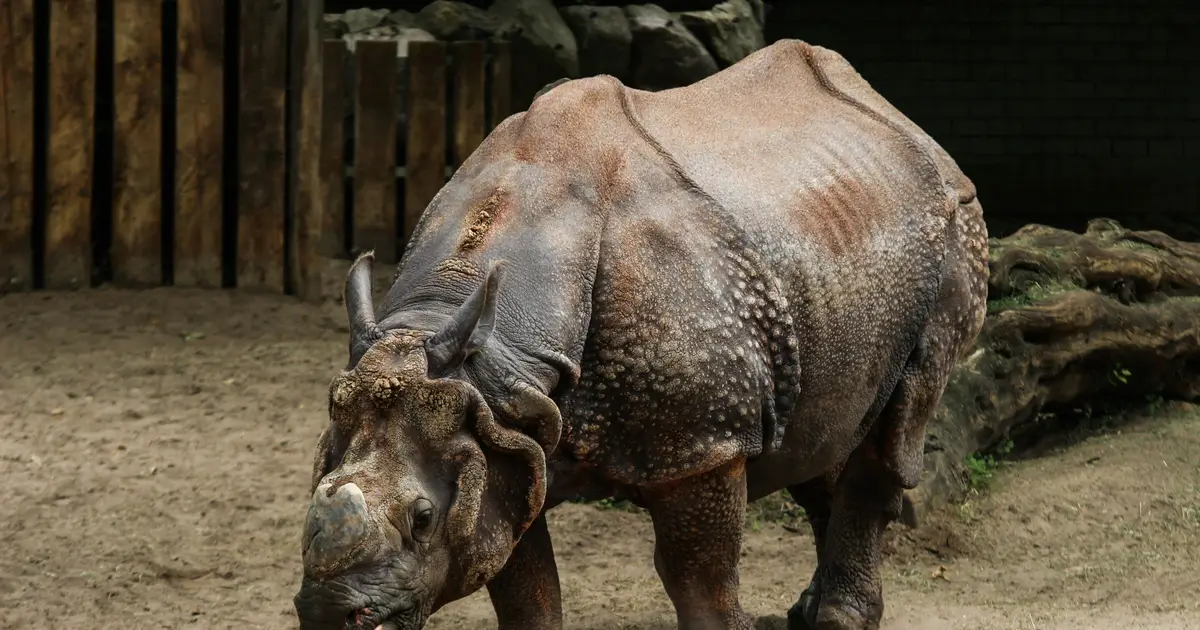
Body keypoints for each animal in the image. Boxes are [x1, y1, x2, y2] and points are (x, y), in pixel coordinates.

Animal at [293, 39, 988, 630]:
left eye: (423, 518)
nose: (329, 614)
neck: (480, 338)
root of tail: (901, 118)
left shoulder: (702, 446)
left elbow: (698, 580)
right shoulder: (503, 425)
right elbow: (525, 588)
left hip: (957, 225)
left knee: (895, 425)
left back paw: (838, 619)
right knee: (824, 430)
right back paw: (810, 609)